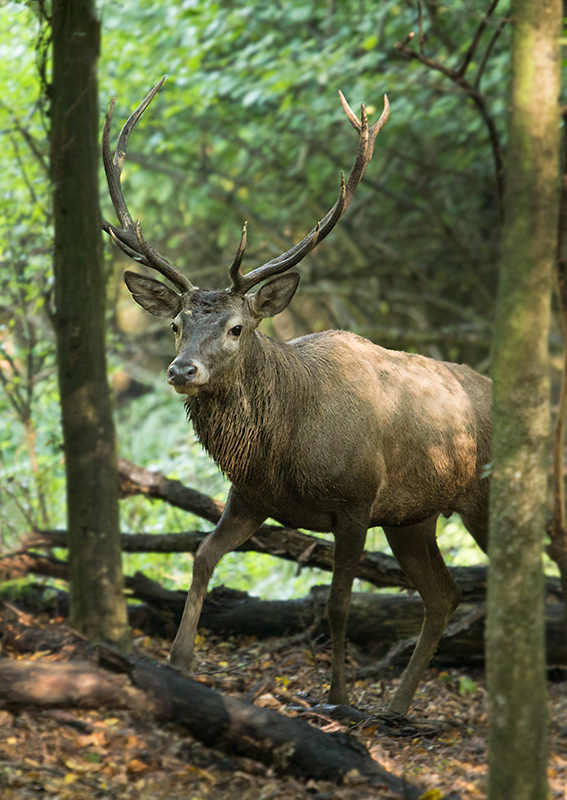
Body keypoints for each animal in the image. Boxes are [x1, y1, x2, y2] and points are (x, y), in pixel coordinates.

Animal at [103, 79, 492, 720]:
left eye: (237, 328)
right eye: (177, 323)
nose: (181, 370)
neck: (283, 446)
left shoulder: (357, 502)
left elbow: (338, 604)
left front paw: (338, 699)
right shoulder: (251, 497)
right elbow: (201, 556)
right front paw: (179, 663)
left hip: (481, 496)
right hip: (414, 517)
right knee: (445, 595)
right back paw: (397, 706)